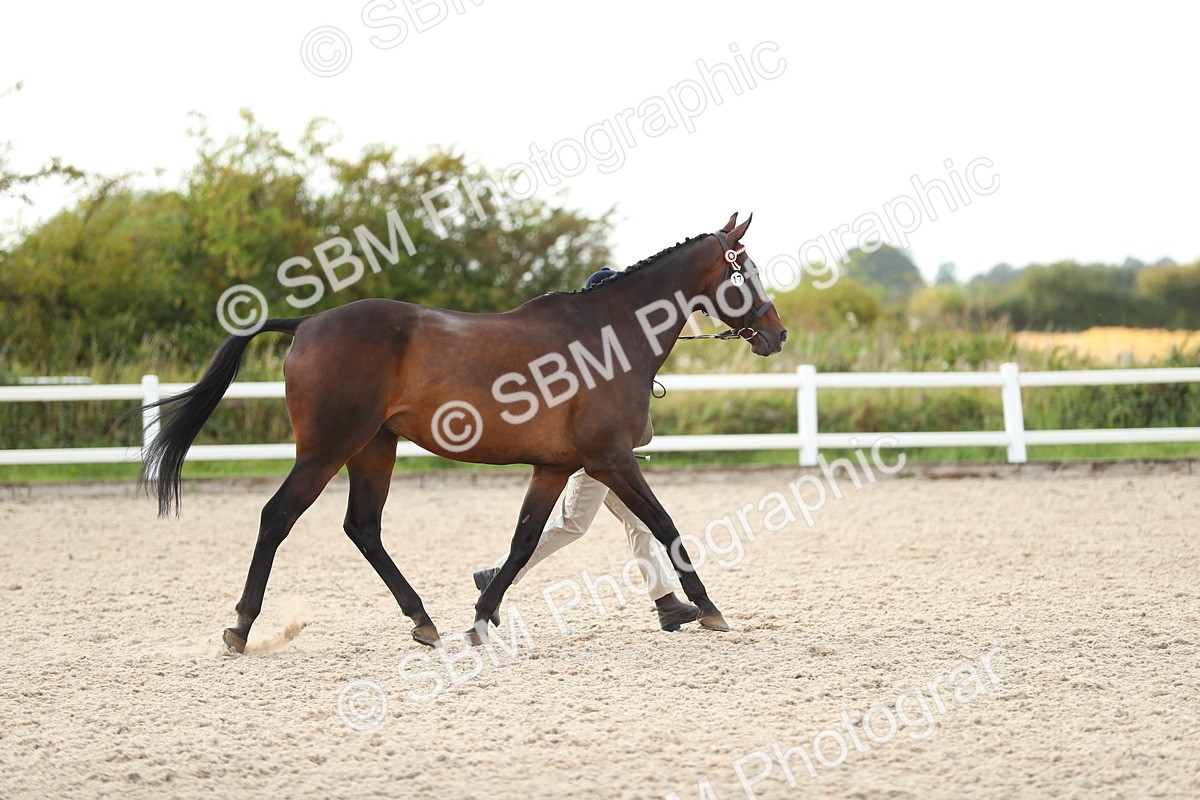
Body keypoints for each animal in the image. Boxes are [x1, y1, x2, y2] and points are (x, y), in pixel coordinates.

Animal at [140, 212, 787, 652]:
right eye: (745, 274)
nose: (776, 334)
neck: (609, 334)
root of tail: (307, 323)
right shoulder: (612, 460)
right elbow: (665, 527)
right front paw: (708, 609)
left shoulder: (557, 466)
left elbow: (524, 541)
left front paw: (482, 616)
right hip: (327, 449)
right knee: (278, 517)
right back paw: (241, 627)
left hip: (374, 448)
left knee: (363, 527)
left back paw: (423, 621)